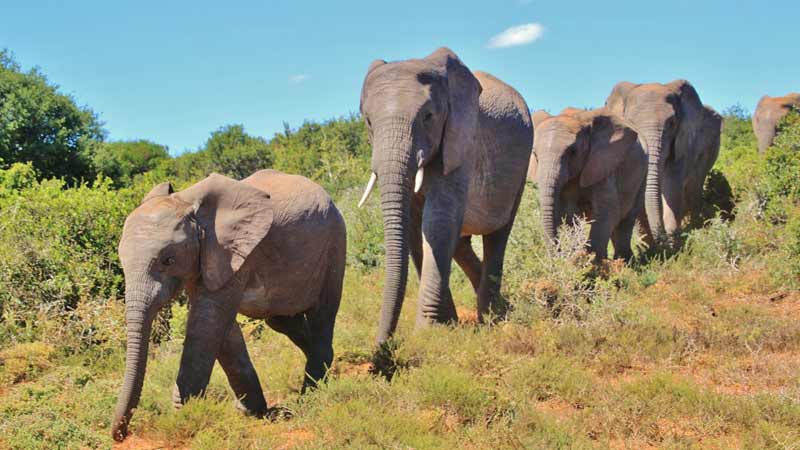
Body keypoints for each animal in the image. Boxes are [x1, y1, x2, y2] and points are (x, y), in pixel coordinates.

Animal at [111, 171, 346, 442]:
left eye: (168, 260)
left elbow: (207, 324)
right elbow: (222, 331)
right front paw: (249, 412)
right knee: (283, 321)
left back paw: (310, 394)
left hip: (334, 244)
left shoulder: (232, 252)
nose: (121, 435)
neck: (188, 204)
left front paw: (185, 417)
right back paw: (327, 371)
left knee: (322, 313)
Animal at [360, 46, 536, 344]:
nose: (383, 346)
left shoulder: (460, 140)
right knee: (460, 243)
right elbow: (415, 229)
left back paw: (492, 317)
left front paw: (426, 332)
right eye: (369, 121)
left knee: (497, 235)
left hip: (521, 166)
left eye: (428, 117)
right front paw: (446, 325)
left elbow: (437, 222)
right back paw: (499, 307)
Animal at [528, 107, 648, 260]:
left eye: (572, 152)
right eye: (535, 154)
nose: (558, 255)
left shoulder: (602, 163)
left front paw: (593, 262)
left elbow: (607, 210)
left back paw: (624, 261)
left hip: (643, 173)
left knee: (626, 218)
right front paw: (576, 257)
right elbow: (566, 214)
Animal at [608, 79, 724, 244]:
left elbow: (672, 185)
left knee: (694, 186)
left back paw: (696, 228)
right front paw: (648, 244)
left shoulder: (681, 141)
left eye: (671, 123)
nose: (660, 239)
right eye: (631, 124)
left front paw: (672, 241)